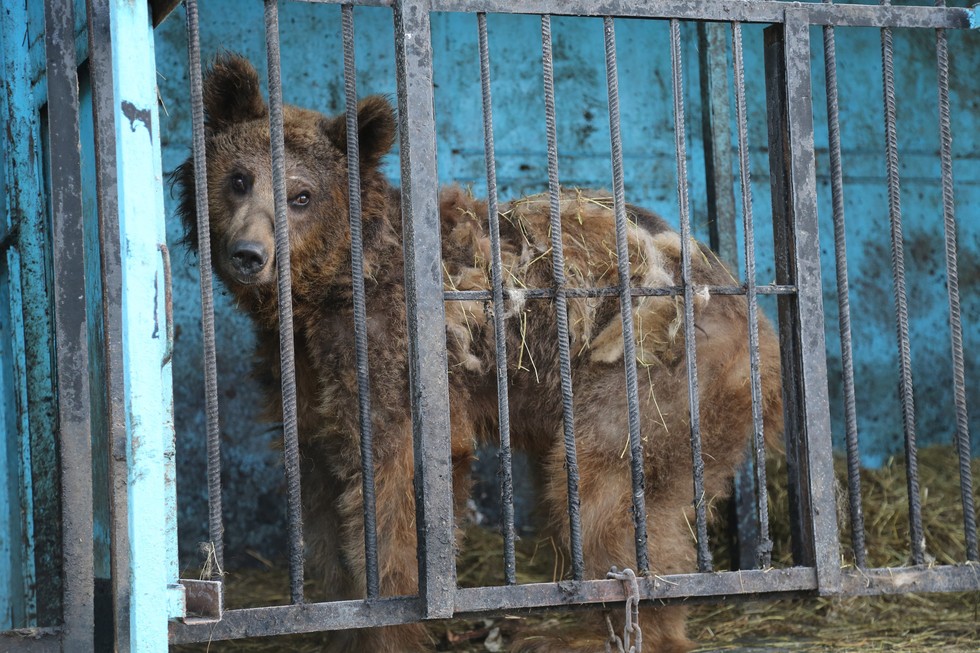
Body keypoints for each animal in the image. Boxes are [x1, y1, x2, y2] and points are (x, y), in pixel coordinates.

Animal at [174, 53, 780, 648]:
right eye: (238, 178)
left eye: (301, 195)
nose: (249, 253)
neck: (326, 293)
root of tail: (749, 310)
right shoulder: (307, 376)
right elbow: (324, 500)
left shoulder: (389, 359)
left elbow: (395, 504)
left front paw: (392, 622)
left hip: (650, 381)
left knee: (608, 498)